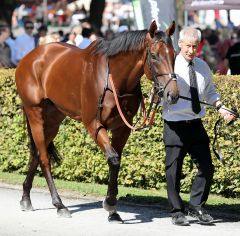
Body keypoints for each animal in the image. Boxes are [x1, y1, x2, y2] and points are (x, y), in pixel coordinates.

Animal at [15, 21, 178, 222]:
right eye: (154, 55)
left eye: (174, 54)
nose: (172, 94)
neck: (112, 79)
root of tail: (30, 57)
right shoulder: (94, 125)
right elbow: (113, 158)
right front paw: (110, 203)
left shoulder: (122, 128)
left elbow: (116, 160)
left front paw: (113, 209)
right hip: (35, 113)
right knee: (44, 158)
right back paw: (59, 204)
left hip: (53, 119)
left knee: (37, 153)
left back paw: (26, 197)